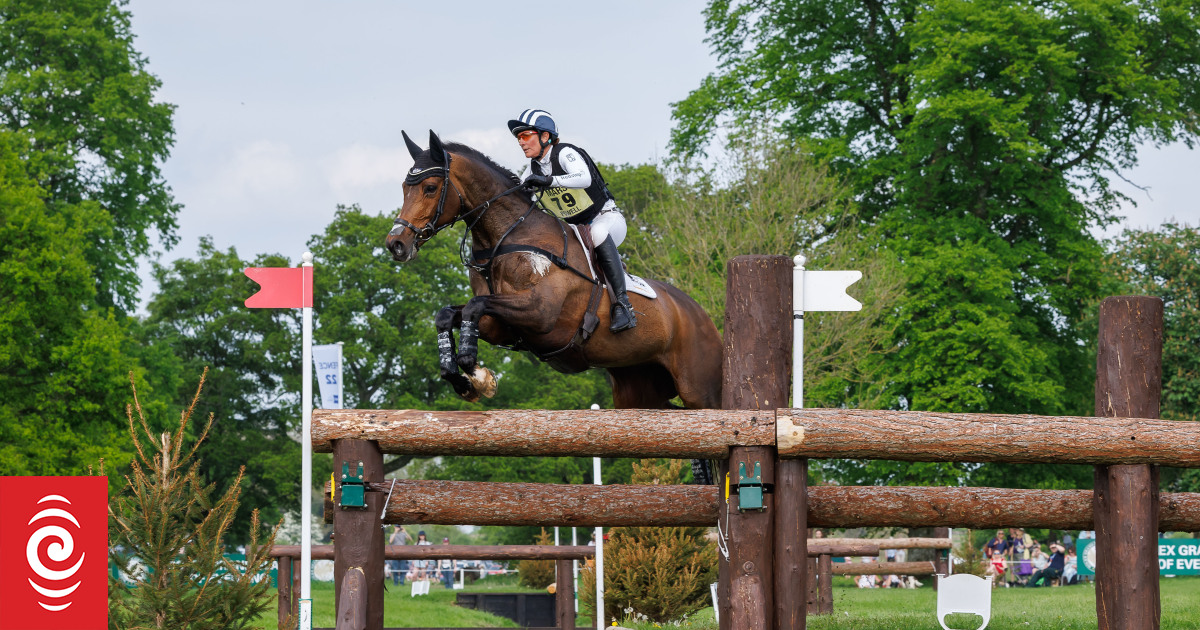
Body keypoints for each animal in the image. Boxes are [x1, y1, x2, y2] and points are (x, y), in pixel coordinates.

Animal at [384, 130, 720, 410]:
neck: (504, 238)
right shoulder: (499, 324)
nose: (396, 244)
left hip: (701, 391)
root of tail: (702, 314)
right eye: (403, 188)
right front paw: (465, 380)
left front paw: (478, 374)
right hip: (637, 389)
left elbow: (474, 307)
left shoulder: (540, 312)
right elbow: (449, 314)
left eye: (430, 188)